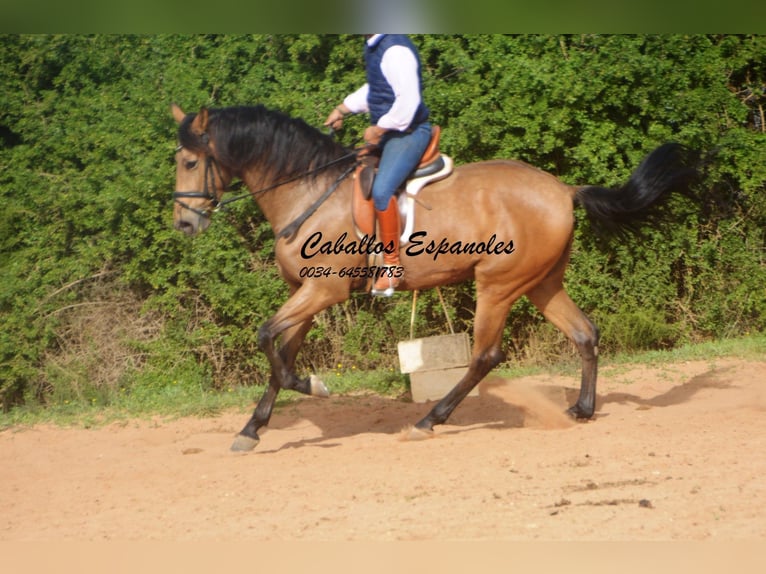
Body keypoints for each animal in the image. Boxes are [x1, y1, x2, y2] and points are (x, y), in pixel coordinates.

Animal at [171, 103, 700, 454]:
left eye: (190, 161)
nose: (183, 224)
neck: (308, 190)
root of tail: (562, 189)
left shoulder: (323, 289)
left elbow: (268, 341)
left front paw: (313, 387)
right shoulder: (304, 292)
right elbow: (279, 354)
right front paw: (252, 428)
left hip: (498, 286)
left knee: (486, 356)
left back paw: (430, 419)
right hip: (541, 284)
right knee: (585, 333)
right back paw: (581, 410)